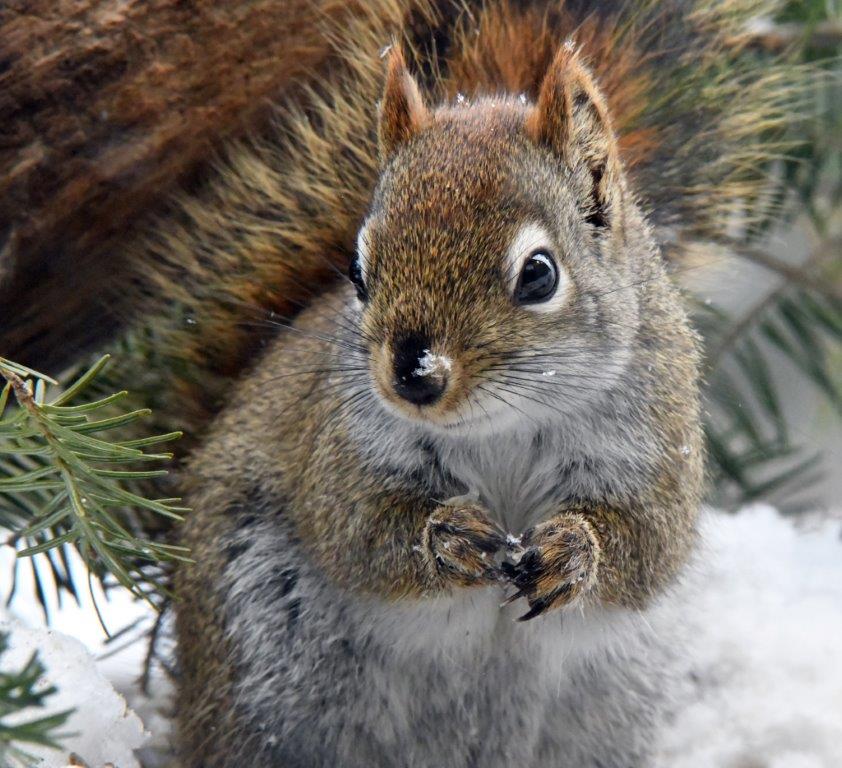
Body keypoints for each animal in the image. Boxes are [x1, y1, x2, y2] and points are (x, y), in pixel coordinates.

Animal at [119, 0, 802, 765]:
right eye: (358, 269)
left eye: (539, 274)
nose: (414, 374)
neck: (503, 428)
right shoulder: (336, 450)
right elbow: (354, 532)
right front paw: (446, 537)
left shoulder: (658, 444)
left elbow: (648, 545)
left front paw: (574, 552)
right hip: (262, 659)